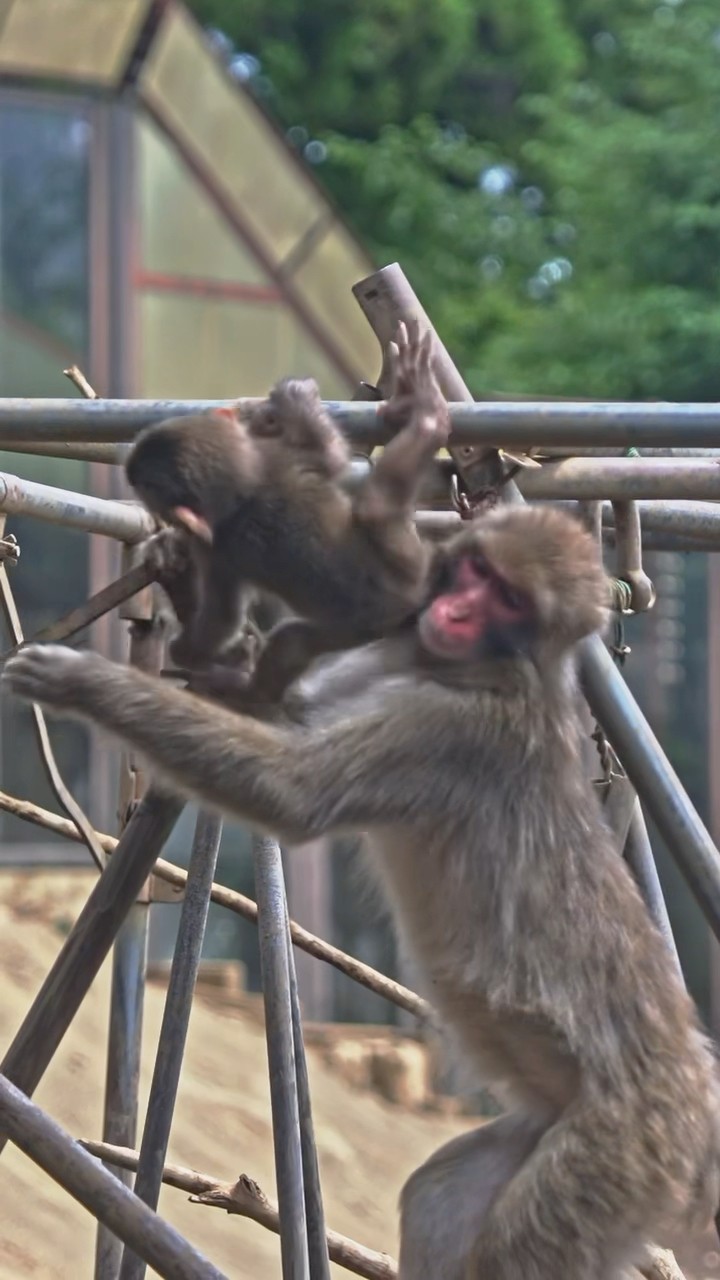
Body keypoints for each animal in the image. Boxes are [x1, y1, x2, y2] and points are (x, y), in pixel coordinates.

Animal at [5, 504, 719, 1279]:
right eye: (477, 572)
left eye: (509, 599)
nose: (453, 609)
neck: (468, 668)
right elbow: (283, 712)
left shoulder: (447, 732)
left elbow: (292, 792)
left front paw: (82, 682)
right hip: (556, 1136)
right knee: (440, 1193)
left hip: (618, 1154)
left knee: (520, 1250)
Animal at [126, 321, 449, 703]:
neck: (243, 490)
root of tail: (412, 600)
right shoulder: (256, 491)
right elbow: (331, 456)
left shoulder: (262, 479)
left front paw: (292, 398)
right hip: (390, 590)